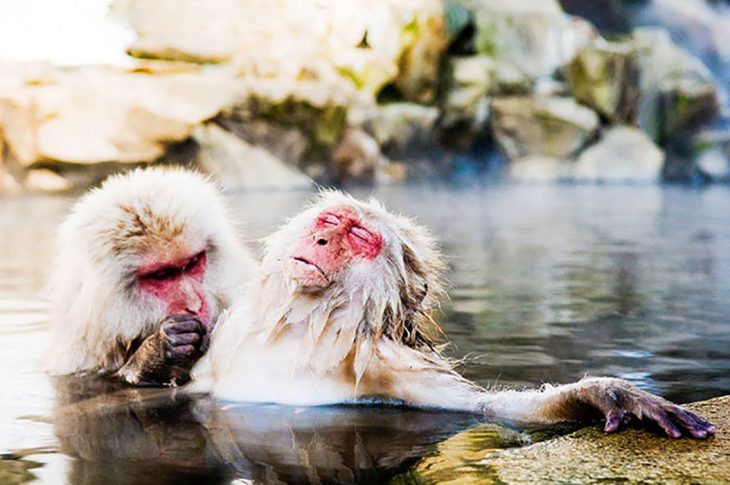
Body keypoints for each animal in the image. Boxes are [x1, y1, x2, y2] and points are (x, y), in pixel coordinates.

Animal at [192, 190, 712, 438]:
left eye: (358, 237)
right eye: (329, 222)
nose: (320, 239)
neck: (303, 327)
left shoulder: (389, 363)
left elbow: (486, 409)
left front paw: (608, 393)